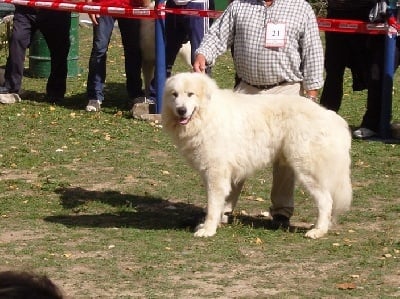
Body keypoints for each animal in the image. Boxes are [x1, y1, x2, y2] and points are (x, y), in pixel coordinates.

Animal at [161, 72, 352, 239]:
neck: (207, 115)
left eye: (190, 94)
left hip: (307, 169)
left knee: (326, 200)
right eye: (174, 95)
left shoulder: (216, 172)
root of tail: (330, 116)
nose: (181, 110)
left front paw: (208, 229)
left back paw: (318, 230)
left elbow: (213, 205)